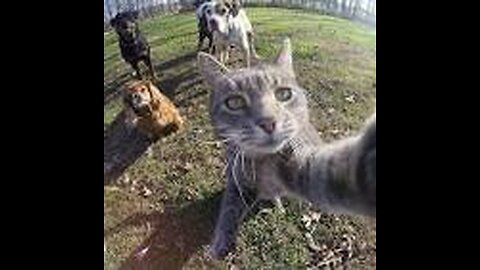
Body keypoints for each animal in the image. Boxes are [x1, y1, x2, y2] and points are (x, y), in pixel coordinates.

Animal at [197, 38, 376, 260]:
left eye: (284, 94)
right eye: (234, 102)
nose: (268, 122)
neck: (263, 164)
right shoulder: (238, 178)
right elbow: (229, 206)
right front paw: (220, 242)